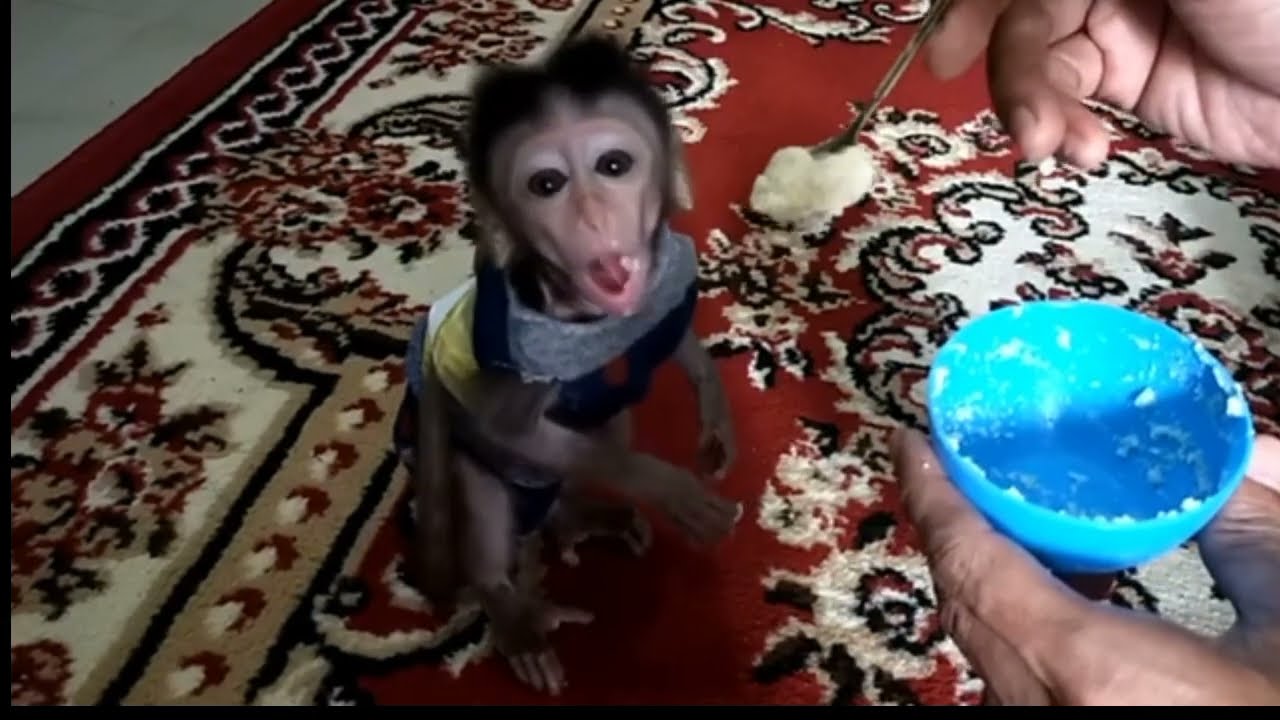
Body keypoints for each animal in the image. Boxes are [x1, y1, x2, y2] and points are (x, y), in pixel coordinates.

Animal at [391, 35, 743, 695]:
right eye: (547, 183)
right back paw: (514, 615)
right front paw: (668, 486)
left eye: (613, 166)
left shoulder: (661, 280)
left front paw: (716, 417)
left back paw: (577, 517)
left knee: (603, 425)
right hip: (456, 467)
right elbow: (510, 426)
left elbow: (669, 338)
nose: (591, 215)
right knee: (490, 514)